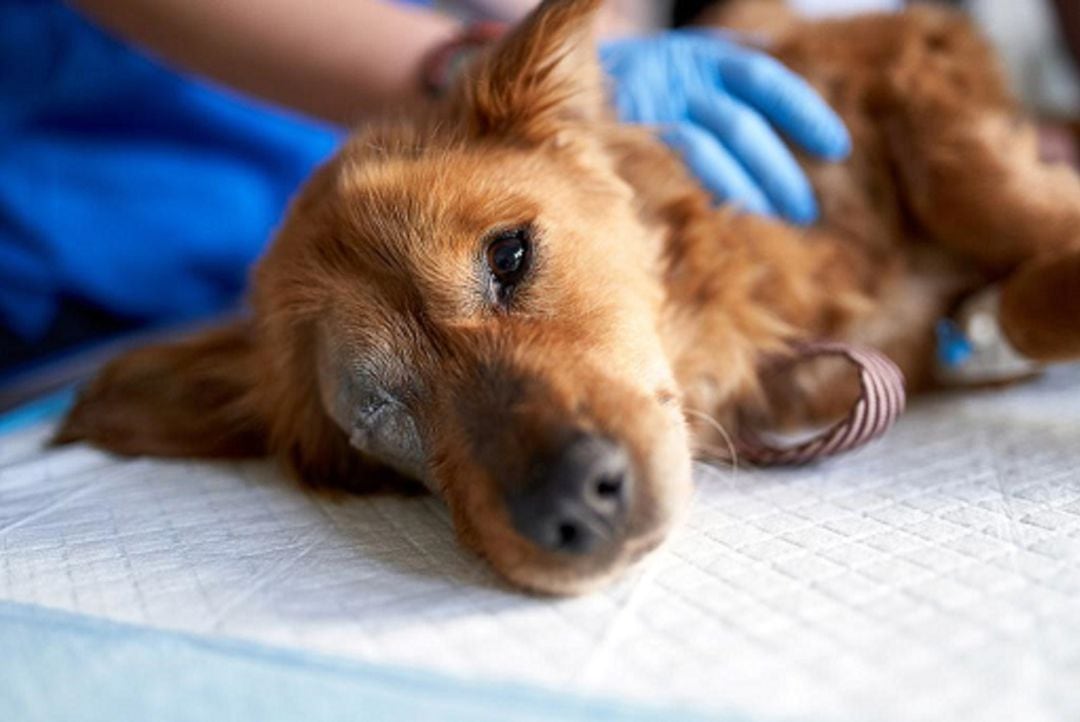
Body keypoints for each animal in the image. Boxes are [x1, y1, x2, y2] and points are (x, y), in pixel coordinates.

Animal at [54, 0, 1080, 595]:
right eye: (376, 417)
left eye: (509, 256)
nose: (577, 509)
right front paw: (993, 321)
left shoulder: (901, 48)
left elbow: (975, 186)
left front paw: (1020, 280)